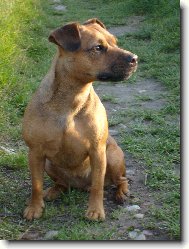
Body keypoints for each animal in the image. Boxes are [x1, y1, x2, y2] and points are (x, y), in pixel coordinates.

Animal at [22, 17, 137, 221]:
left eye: (115, 42)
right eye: (98, 48)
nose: (135, 58)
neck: (72, 99)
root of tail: (80, 186)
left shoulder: (98, 152)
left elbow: (98, 186)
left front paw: (95, 211)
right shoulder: (35, 152)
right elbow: (36, 185)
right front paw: (34, 208)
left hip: (113, 157)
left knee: (120, 179)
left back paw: (121, 192)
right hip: (50, 165)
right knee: (62, 183)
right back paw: (53, 191)